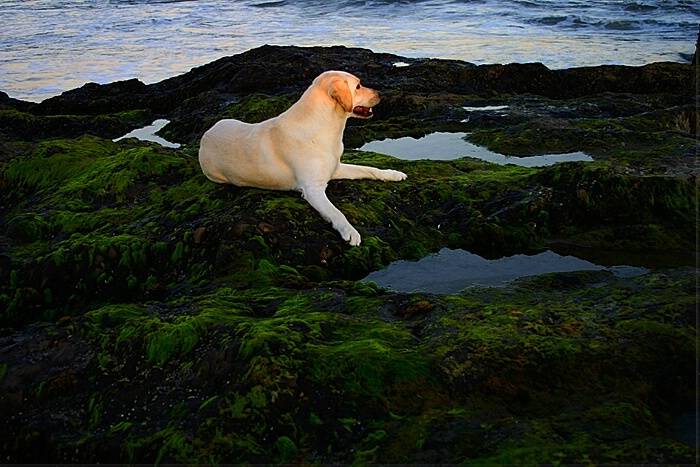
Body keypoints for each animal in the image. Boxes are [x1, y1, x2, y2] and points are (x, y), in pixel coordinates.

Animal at [198, 71, 404, 247]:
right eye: (358, 86)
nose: (380, 93)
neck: (325, 126)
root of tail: (204, 136)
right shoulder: (313, 189)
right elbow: (335, 212)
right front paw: (349, 231)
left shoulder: (336, 168)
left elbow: (368, 169)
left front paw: (392, 174)